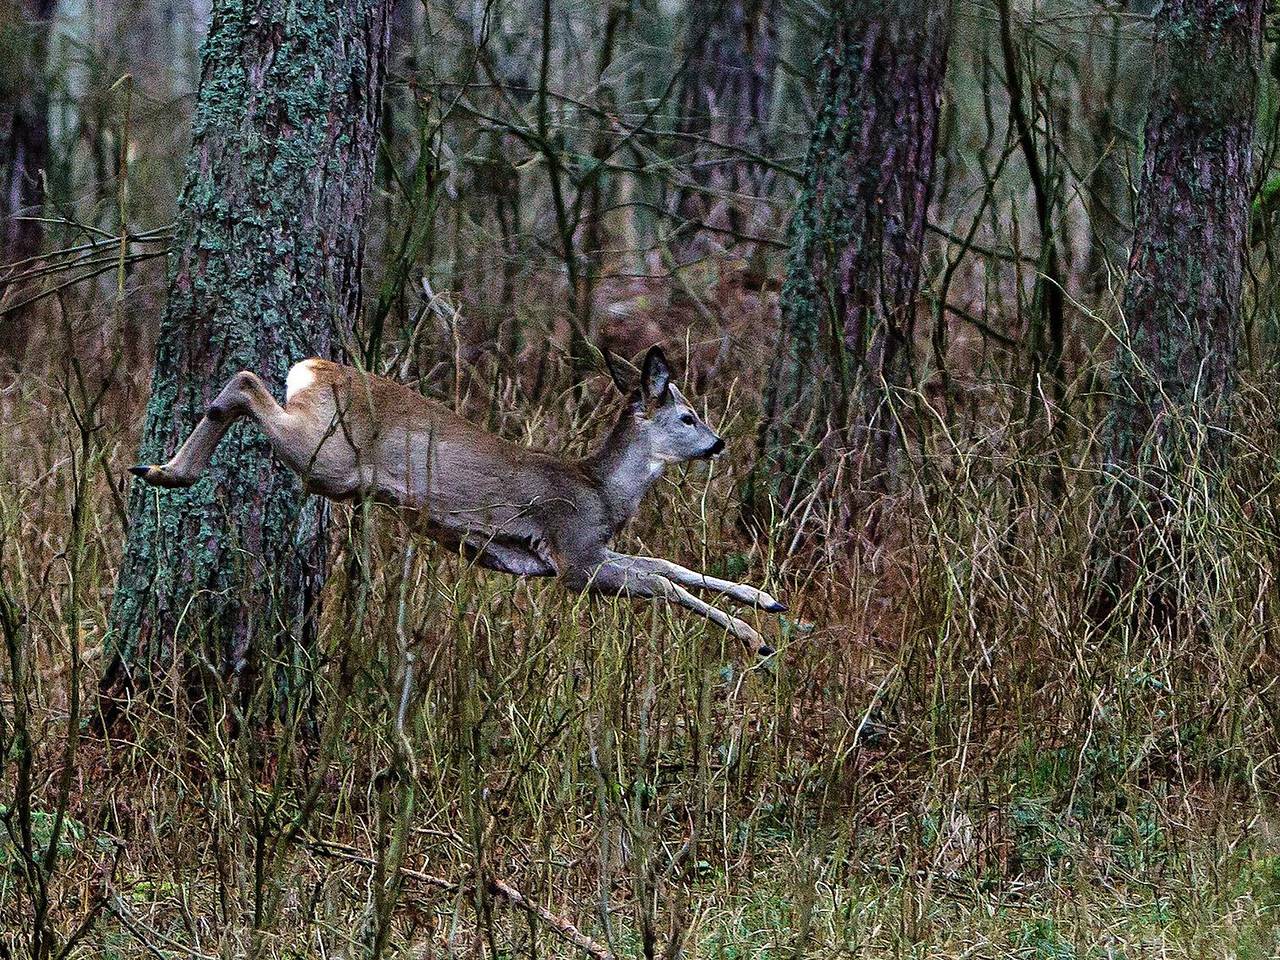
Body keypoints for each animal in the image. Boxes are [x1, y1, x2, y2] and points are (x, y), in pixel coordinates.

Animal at [132, 348, 788, 660]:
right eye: (688, 417)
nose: (719, 442)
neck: (602, 493)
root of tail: (311, 368)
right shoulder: (573, 556)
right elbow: (663, 582)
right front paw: (754, 638)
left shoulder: (582, 553)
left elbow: (667, 565)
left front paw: (767, 601)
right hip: (329, 461)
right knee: (245, 382)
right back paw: (169, 469)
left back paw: (159, 468)